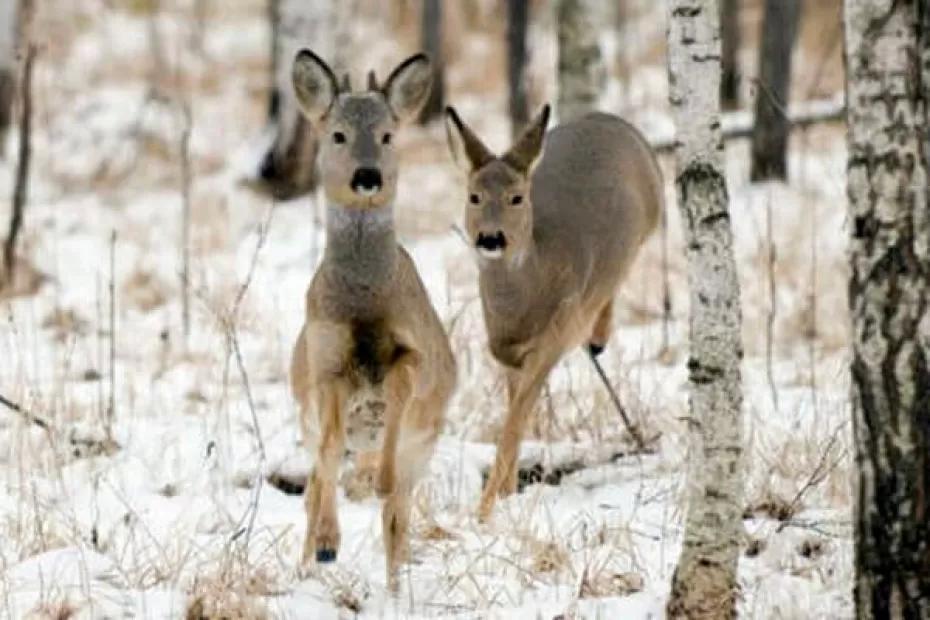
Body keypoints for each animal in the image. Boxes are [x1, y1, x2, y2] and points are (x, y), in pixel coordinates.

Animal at [286, 50, 454, 588]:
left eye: (387, 134)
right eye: (337, 134)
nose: (366, 176)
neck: (362, 303)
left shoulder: (414, 354)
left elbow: (397, 392)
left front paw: (375, 478)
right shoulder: (324, 365)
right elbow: (330, 448)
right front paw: (327, 542)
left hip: (427, 442)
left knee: (397, 513)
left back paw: (396, 579)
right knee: (315, 480)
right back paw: (310, 558)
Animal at [442, 104, 660, 520]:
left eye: (516, 197)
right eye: (474, 196)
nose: (490, 238)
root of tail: (608, 118)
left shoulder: (551, 343)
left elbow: (512, 428)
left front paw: (484, 512)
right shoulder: (507, 356)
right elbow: (516, 419)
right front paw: (507, 495)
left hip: (652, 217)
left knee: (619, 277)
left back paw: (598, 337)